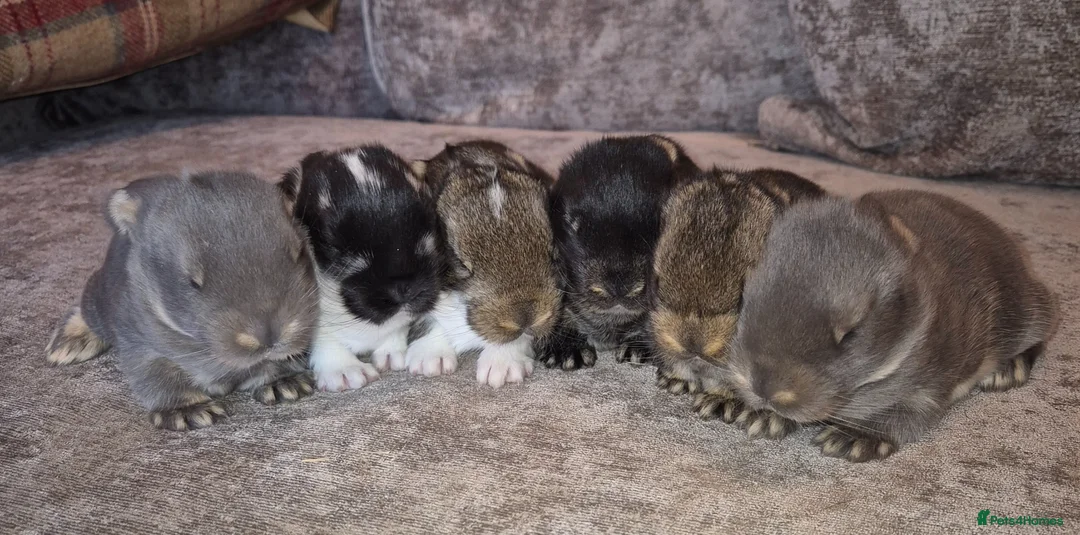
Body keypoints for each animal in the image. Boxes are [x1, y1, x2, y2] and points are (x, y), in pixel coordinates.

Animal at [45, 171, 319, 431]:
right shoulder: (141, 345)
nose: (269, 337)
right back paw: (68, 345)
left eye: (299, 253)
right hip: (100, 303)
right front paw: (188, 411)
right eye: (192, 282)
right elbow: (159, 378)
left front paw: (284, 383)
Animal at [278, 144, 449, 392]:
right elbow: (324, 336)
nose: (404, 288)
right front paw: (344, 371)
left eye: (427, 236)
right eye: (335, 247)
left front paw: (390, 353)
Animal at [721, 190, 1057, 462]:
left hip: (1027, 312)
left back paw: (1008, 370)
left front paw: (855, 440)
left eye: (851, 332)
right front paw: (761, 417)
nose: (765, 388)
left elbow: (903, 416)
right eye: (743, 297)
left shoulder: (928, 387)